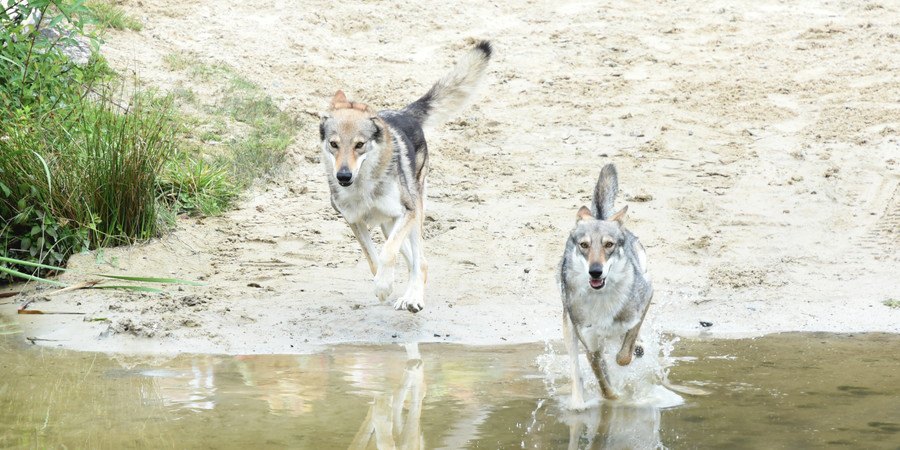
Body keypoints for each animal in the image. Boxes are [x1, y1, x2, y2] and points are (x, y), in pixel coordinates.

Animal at [320, 40, 496, 312]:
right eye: (334, 144)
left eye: (359, 145)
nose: (344, 176)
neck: (363, 187)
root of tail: (404, 113)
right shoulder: (355, 222)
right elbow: (374, 259)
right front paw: (384, 286)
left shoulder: (407, 212)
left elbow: (386, 254)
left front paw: (384, 286)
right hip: (388, 224)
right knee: (412, 260)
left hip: (413, 215)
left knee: (421, 262)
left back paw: (413, 298)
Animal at [556, 163, 652, 402]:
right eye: (584, 245)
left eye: (609, 245)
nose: (596, 271)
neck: (602, 299)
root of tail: (600, 215)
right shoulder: (591, 348)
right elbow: (605, 387)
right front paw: (616, 398)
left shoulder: (645, 299)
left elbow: (624, 353)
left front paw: (631, 350)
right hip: (569, 331)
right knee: (576, 374)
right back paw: (578, 402)